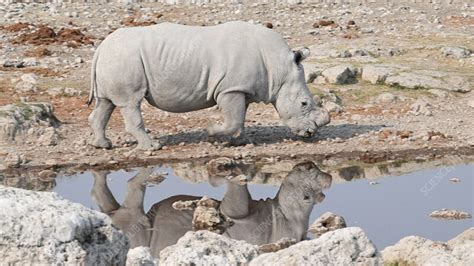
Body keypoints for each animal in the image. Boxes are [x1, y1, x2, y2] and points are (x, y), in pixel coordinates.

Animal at [88, 20, 330, 150]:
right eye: (304, 103)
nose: (311, 133)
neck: (278, 68)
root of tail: (100, 48)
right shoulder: (230, 89)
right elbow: (233, 120)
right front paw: (211, 133)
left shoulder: (241, 89)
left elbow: (239, 119)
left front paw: (241, 141)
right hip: (125, 60)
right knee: (130, 103)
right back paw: (152, 147)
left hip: (115, 60)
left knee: (106, 103)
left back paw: (103, 145)